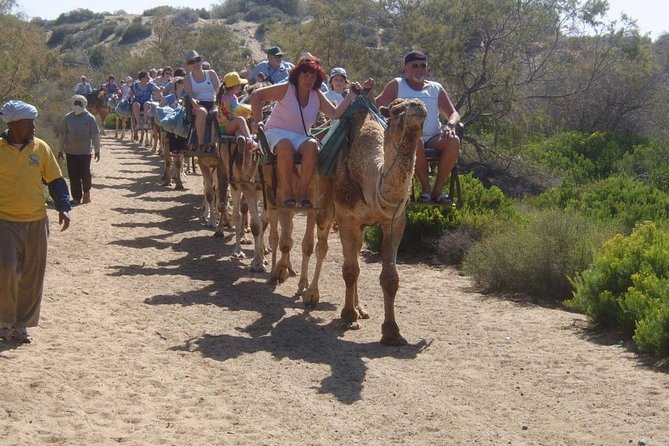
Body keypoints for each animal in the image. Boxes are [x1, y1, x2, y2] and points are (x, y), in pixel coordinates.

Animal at [298, 99, 428, 346]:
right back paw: (309, 293)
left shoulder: (394, 221)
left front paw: (391, 332)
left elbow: (389, 277)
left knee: (354, 253)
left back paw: (360, 308)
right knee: (320, 245)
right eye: (396, 110)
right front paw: (348, 316)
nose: (419, 106)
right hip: (322, 201)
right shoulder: (346, 217)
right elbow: (349, 269)